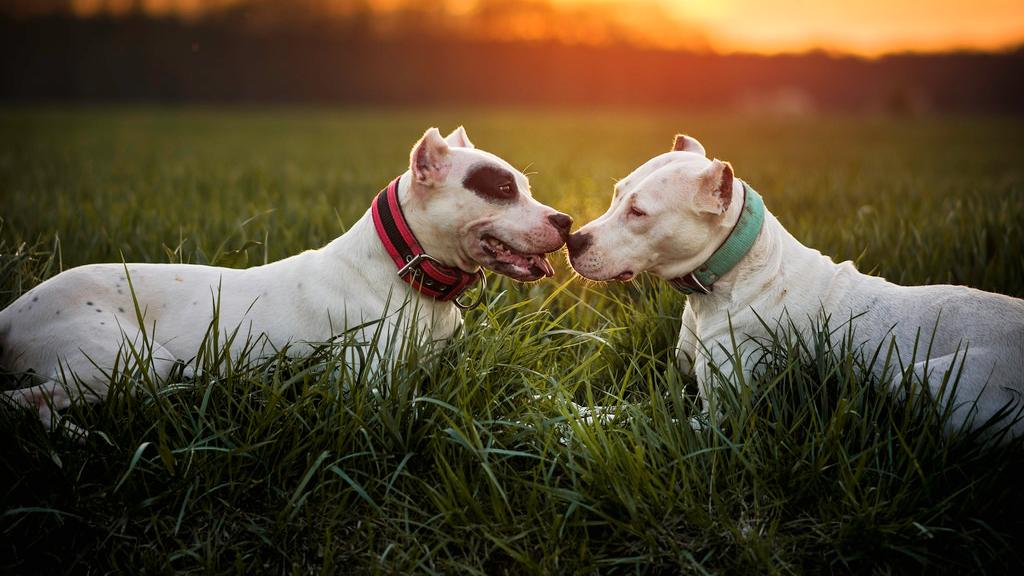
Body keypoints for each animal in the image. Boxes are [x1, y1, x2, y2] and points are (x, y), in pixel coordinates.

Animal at [0, 125, 573, 430]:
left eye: (523, 186)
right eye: (501, 188)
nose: (565, 221)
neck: (405, 271)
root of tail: (11, 313)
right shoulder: (371, 393)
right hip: (129, 358)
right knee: (24, 402)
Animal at [569, 134, 1024, 436]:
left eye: (639, 212)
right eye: (616, 195)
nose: (573, 240)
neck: (730, 275)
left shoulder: (718, 419)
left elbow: (638, 422)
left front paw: (565, 428)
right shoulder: (684, 387)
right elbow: (629, 406)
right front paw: (565, 407)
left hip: (924, 375)